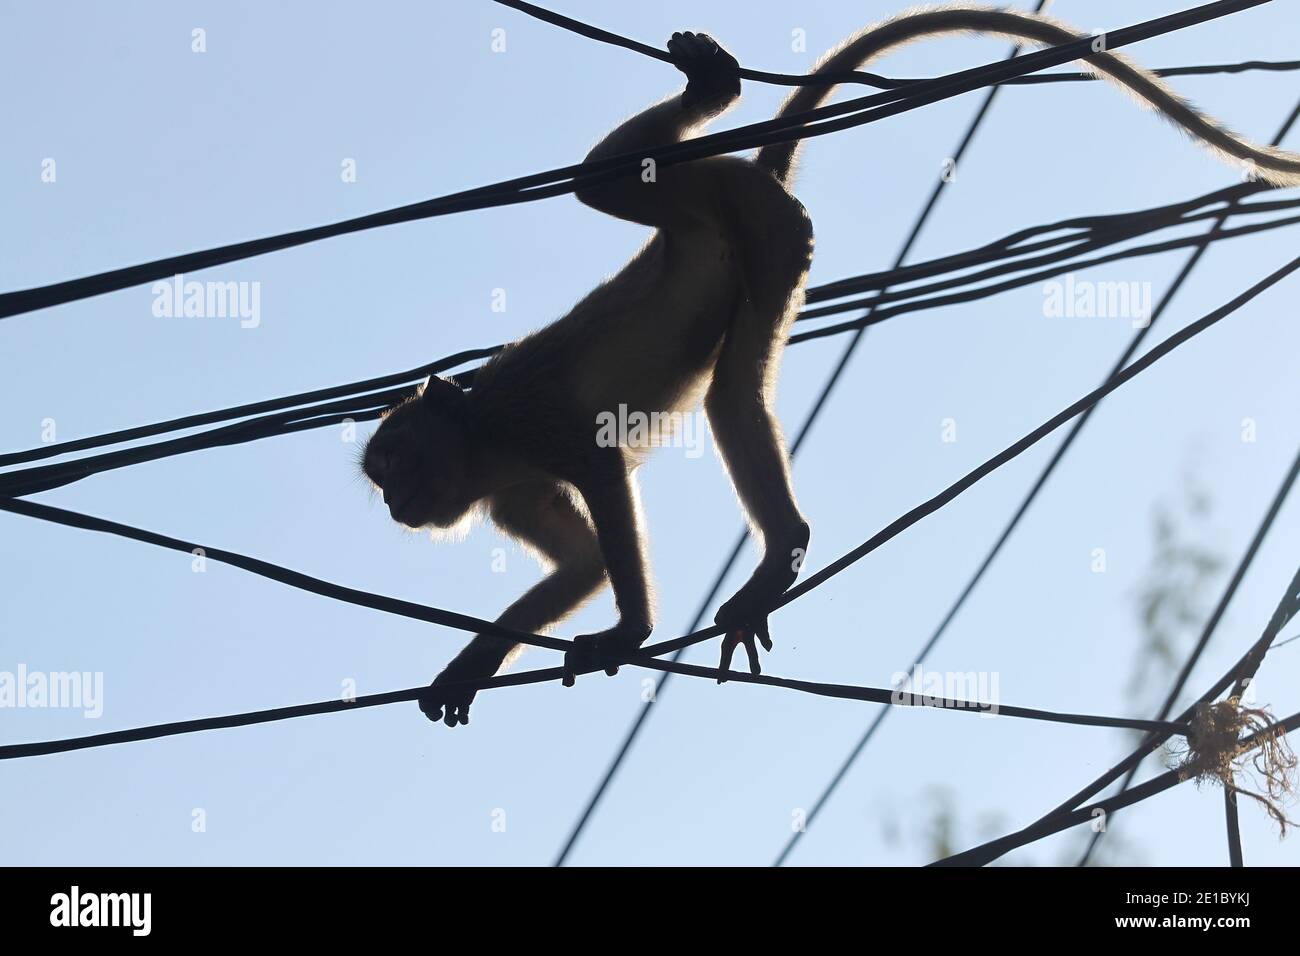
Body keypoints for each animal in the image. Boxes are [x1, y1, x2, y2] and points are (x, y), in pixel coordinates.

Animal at [364, 5, 1300, 723]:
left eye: (396, 464)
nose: (394, 506)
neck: (481, 438)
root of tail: (759, 175)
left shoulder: (527, 421)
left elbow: (600, 466)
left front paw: (627, 633)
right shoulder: (510, 492)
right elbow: (584, 564)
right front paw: (472, 664)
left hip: (735, 209)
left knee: (623, 218)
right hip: (770, 241)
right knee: (731, 380)